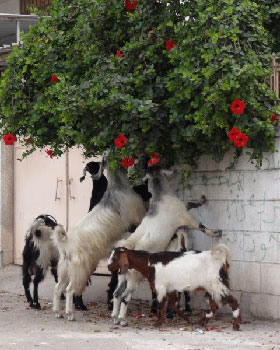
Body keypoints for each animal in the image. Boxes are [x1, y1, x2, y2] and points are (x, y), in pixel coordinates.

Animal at [51, 168, 147, 322]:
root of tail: (66, 244)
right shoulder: (135, 217)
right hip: (79, 270)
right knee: (69, 290)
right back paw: (70, 314)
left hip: (65, 270)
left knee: (58, 288)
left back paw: (57, 312)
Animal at [107, 245, 241, 330]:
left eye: (115, 258)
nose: (108, 267)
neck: (149, 262)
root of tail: (220, 260)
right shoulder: (170, 289)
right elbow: (172, 305)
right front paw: (187, 318)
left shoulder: (160, 288)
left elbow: (161, 305)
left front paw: (158, 323)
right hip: (212, 288)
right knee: (214, 305)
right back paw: (204, 321)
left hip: (218, 286)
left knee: (233, 302)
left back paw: (236, 325)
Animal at [110, 165, 222, 326]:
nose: (175, 170)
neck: (160, 197)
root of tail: (124, 250)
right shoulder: (183, 216)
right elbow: (200, 226)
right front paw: (216, 232)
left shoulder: (182, 209)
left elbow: (189, 204)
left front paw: (201, 199)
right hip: (134, 277)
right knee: (125, 296)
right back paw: (122, 319)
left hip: (122, 276)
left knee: (117, 293)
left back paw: (114, 317)